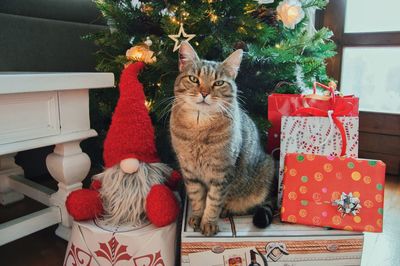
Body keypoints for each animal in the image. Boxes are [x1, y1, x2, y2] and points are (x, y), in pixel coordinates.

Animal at [170, 42, 276, 237]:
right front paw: (197, 217)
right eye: (194, 79)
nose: (204, 93)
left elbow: (213, 201)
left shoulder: (222, 172)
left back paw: (226, 210)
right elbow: (197, 198)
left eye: (218, 83)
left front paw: (209, 223)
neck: (200, 126)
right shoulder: (189, 170)